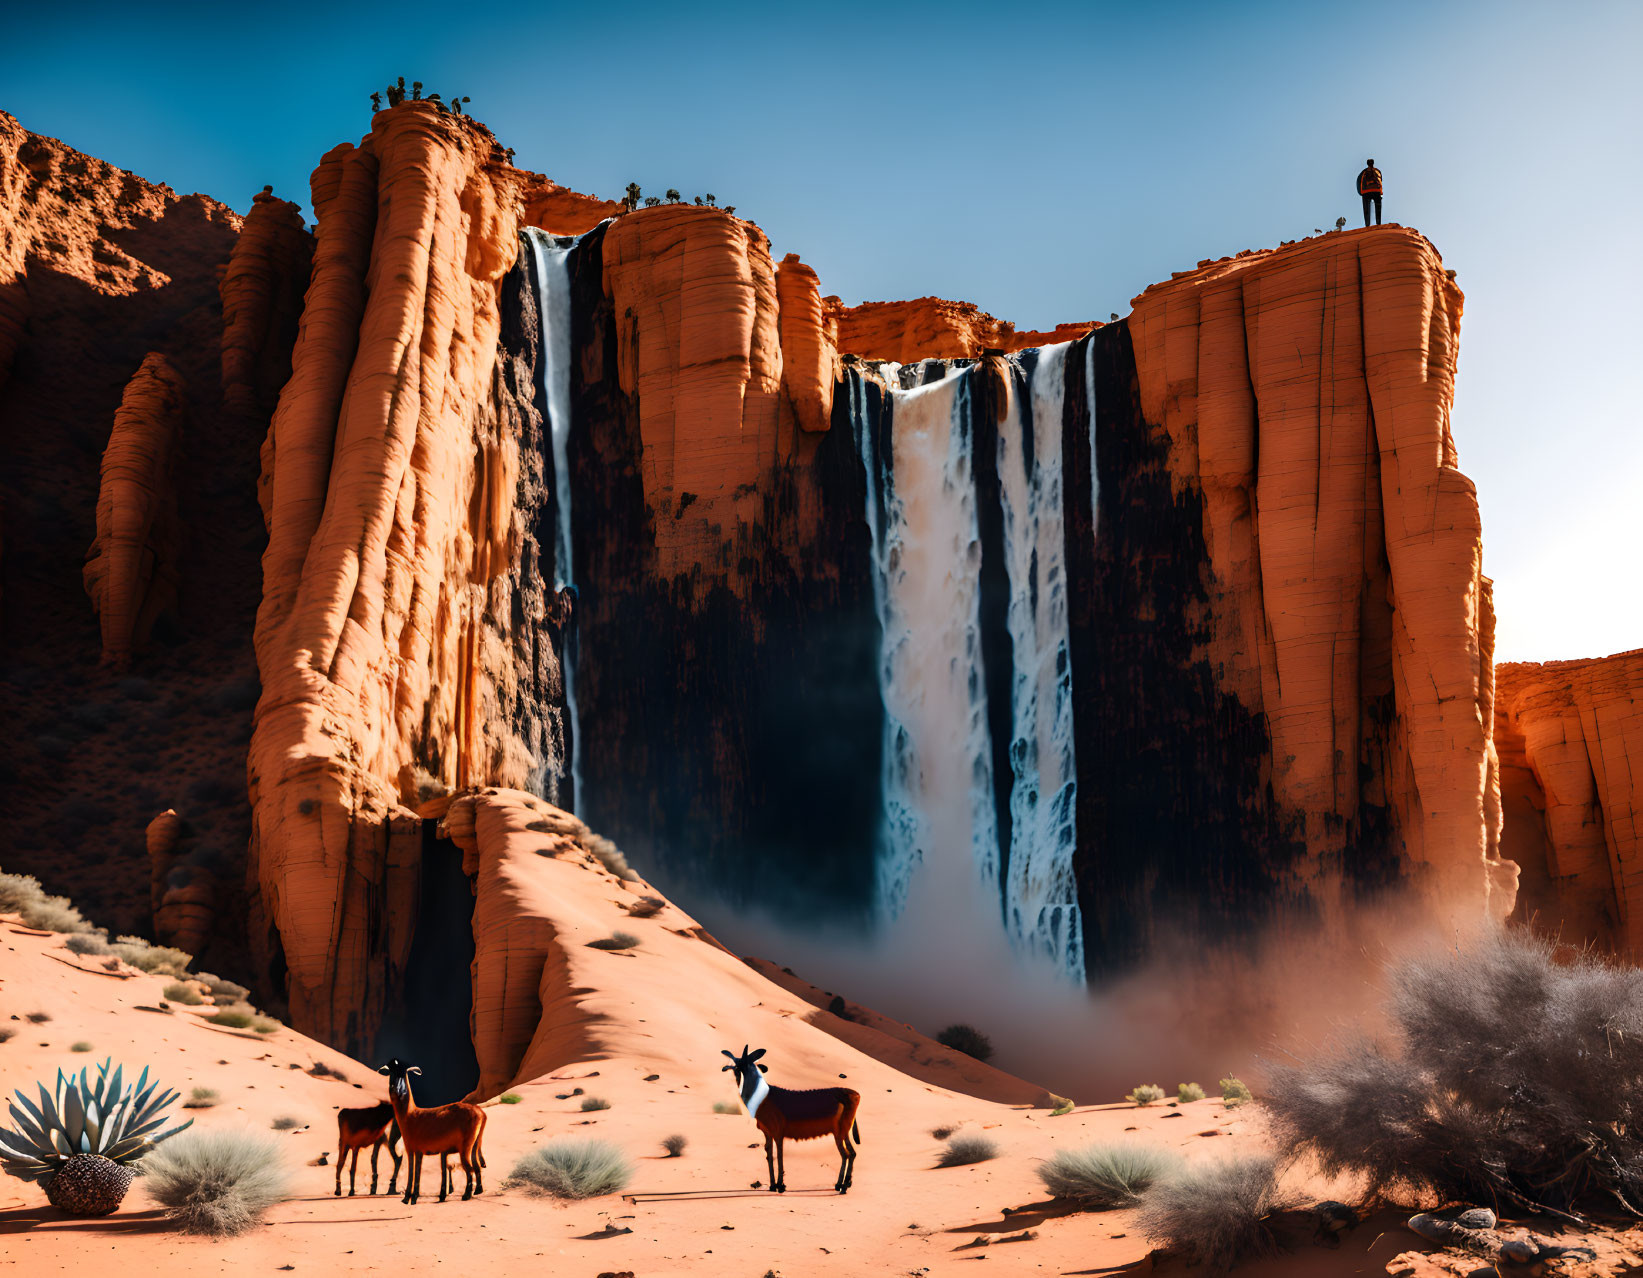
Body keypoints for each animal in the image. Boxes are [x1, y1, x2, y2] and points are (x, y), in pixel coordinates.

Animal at [377, 1051, 486, 1202]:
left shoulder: (411, 1149)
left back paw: (466, 1195)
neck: (411, 1115)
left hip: (465, 1148)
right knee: (476, 1167)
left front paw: (407, 1198)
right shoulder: (420, 1151)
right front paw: (413, 1196)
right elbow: (417, 1171)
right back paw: (476, 1191)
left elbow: (412, 1171)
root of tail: (480, 1113)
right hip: (475, 1145)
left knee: (469, 1168)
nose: (397, 1090)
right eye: (391, 1071)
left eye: (404, 1072)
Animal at [726, 1038, 867, 1189]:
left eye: (746, 1065)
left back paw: (840, 1186)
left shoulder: (778, 1133)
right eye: (736, 1066)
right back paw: (846, 1183)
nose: (738, 1078)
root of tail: (855, 1094)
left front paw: (780, 1185)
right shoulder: (767, 1133)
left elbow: (779, 1156)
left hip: (839, 1133)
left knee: (845, 1154)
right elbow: (769, 1155)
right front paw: (772, 1185)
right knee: (852, 1153)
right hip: (843, 1132)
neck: (764, 1098)